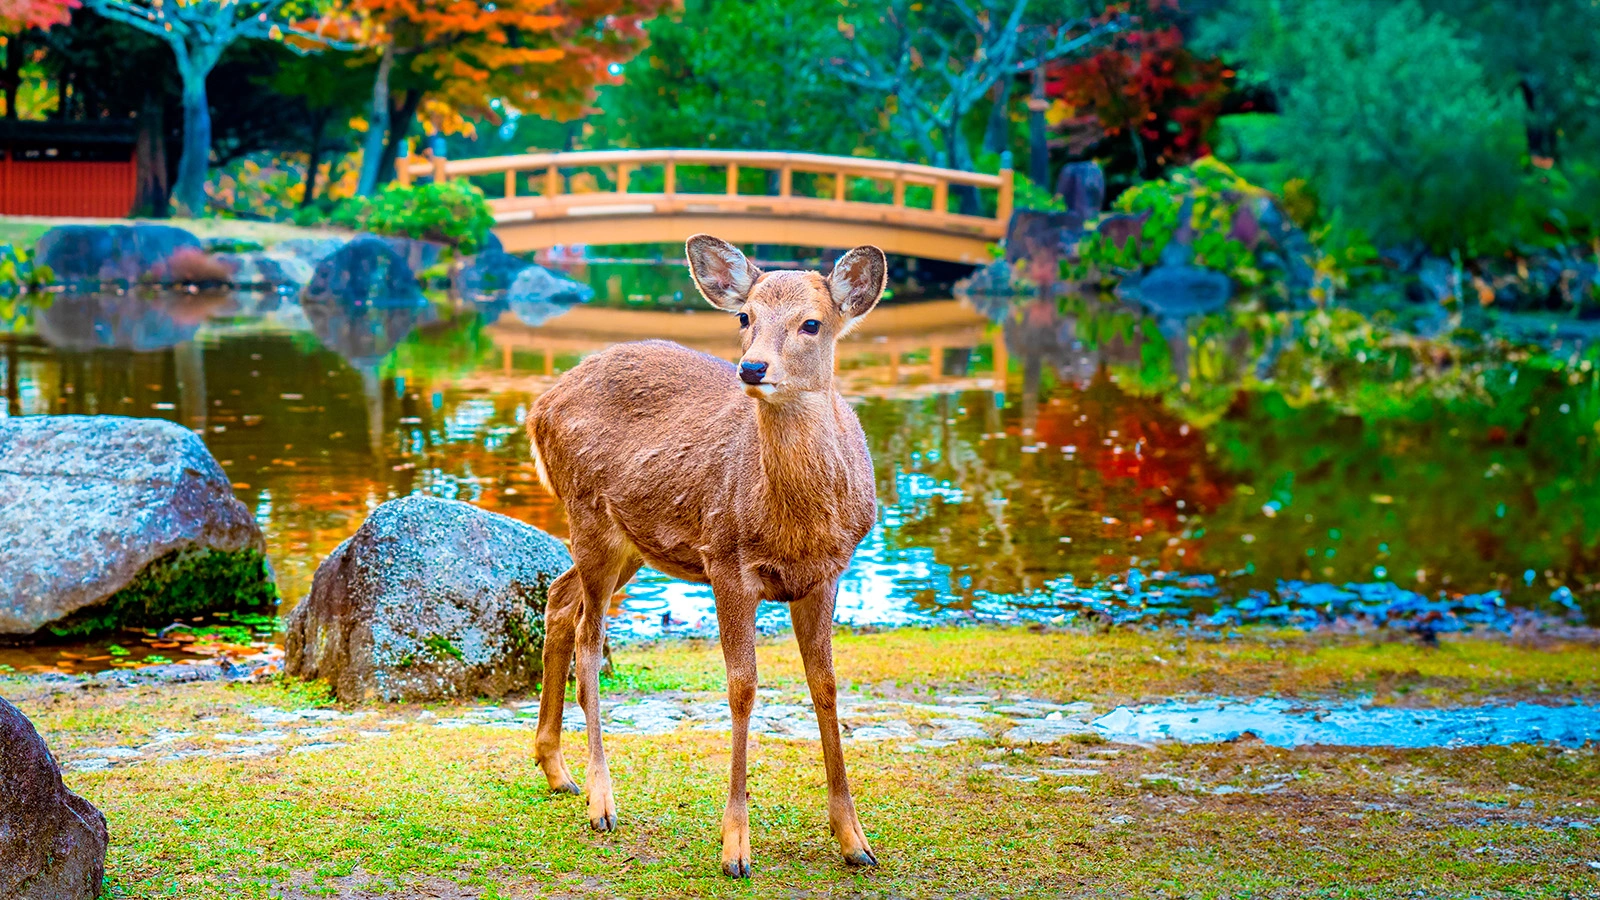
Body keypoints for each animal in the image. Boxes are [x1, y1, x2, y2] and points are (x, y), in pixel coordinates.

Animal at [531, 235, 889, 871]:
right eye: (745, 317)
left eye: (813, 323)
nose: (753, 367)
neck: (794, 525)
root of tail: (536, 409)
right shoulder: (726, 560)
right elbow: (741, 687)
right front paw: (735, 848)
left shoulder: (829, 571)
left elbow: (824, 684)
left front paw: (855, 840)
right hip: (589, 516)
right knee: (589, 637)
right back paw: (600, 800)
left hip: (629, 544)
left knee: (559, 597)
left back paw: (555, 769)